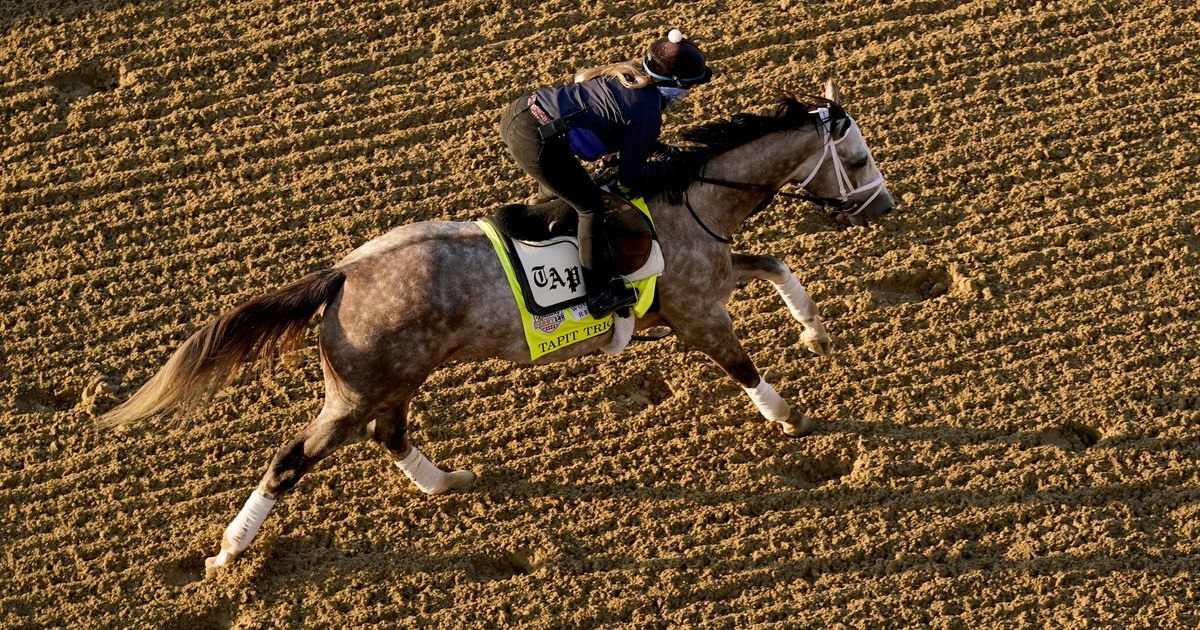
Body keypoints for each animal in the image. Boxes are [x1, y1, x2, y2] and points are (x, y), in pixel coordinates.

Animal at [99, 80, 894, 575]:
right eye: (856, 159)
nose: (883, 207)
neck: (689, 198)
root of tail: (343, 274)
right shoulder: (699, 312)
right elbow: (743, 367)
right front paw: (788, 414)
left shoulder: (705, 282)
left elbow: (781, 266)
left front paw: (813, 330)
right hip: (355, 392)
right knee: (291, 458)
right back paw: (229, 551)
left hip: (395, 377)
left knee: (391, 436)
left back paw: (445, 480)